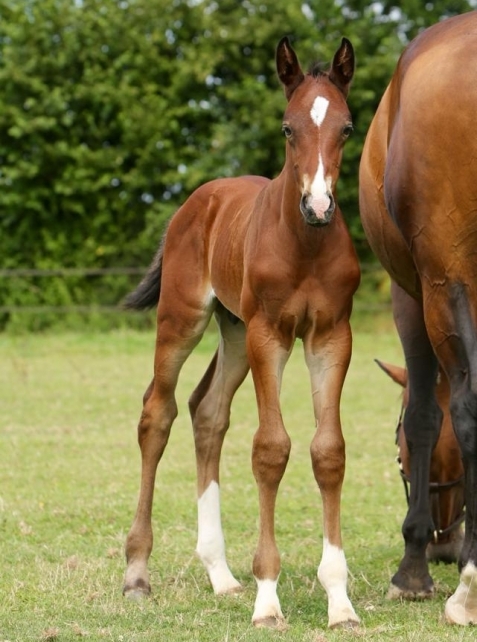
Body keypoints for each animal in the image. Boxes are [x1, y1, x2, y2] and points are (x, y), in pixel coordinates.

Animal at [121, 37, 358, 628]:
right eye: (287, 128)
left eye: (346, 127)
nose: (318, 206)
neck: (306, 245)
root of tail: (196, 200)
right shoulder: (270, 335)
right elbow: (271, 449)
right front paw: (267, 598)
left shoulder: (331, 337)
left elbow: (328, 451)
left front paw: (340, 602)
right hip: (185, 319)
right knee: (157, 413)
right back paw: (136, 574)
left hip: (233, 333)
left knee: (207, 411)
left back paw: (221, 575)